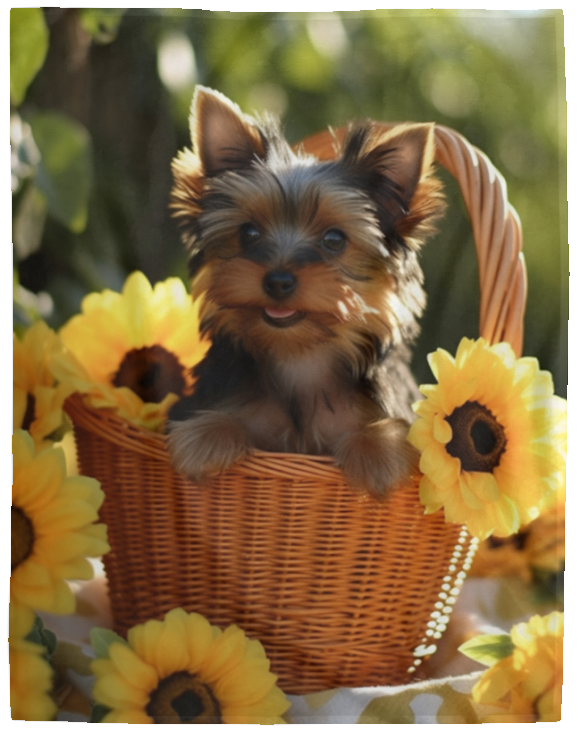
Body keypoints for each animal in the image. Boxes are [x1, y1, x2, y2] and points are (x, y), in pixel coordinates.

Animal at [164, 87, 444, 498]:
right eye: (248, 233)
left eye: (334, 240)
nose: (278, 281)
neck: (299, 355)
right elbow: (225, 419)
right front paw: (203, 437)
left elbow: (396, 430)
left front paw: (378, 453)